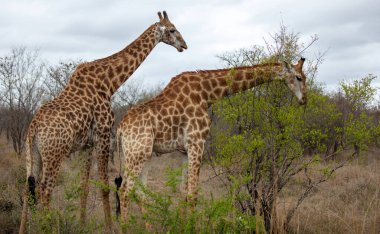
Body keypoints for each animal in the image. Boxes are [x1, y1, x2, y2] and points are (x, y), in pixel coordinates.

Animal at [19, 11, 187, 234]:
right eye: (172, 30)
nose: (184, 45)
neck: (109, 82)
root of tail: (33, 128)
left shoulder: (87, 144)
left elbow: (84, 186)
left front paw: (82, 224)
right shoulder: (105, 133)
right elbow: (105, 186)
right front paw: (109, 226)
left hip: (33, 155)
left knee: (27, 188)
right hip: (55, 154)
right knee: (45, 190)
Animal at [116, 57, 308, 222]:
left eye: (304, 77)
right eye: (298, 77)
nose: (304, 100)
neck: (207, 94)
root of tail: (120, 128)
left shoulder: (184, 150)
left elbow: (183, 192)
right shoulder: (197, 141)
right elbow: (193, 194)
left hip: (144, 155)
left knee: (139, 192)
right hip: (137, 154)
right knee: (124, 191)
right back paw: (125, 227)